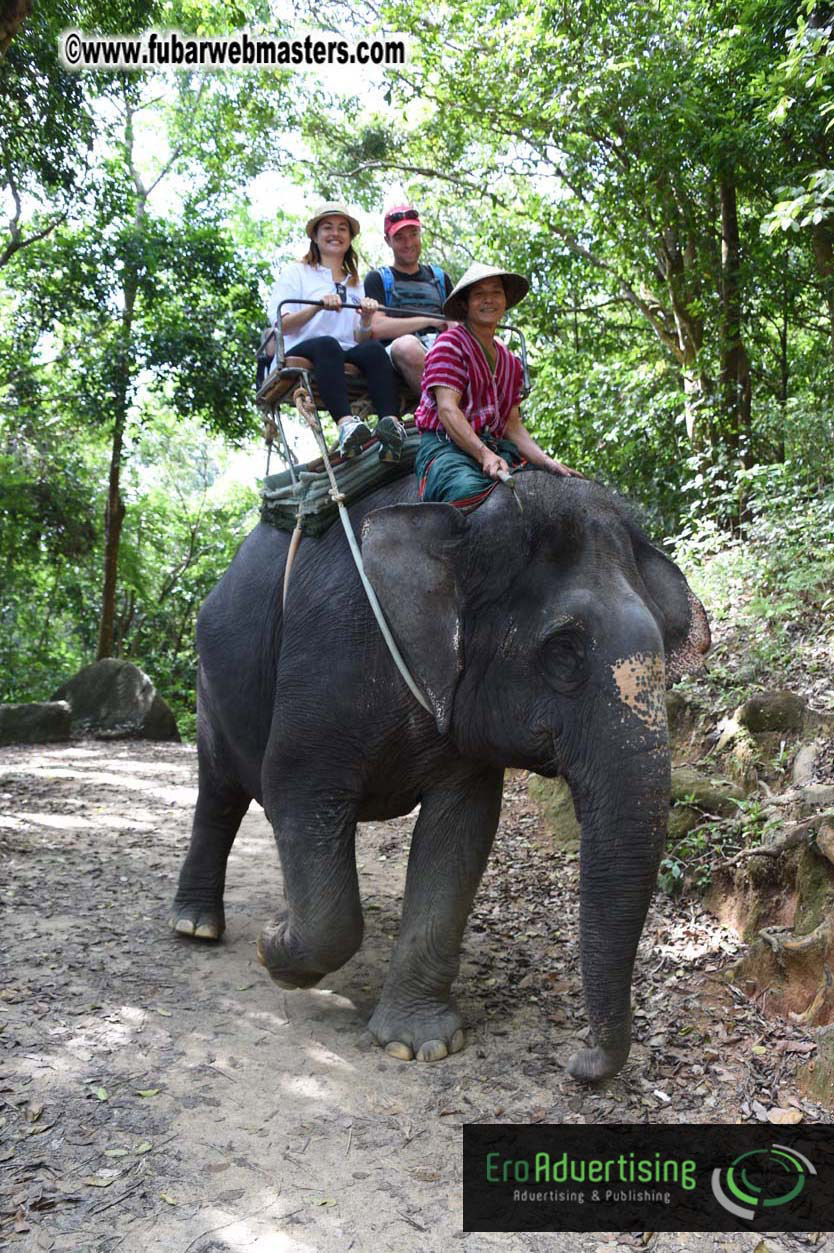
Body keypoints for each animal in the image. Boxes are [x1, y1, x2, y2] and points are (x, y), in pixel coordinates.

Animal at [171, 470, 709, 1082]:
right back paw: (196, 928)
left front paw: (419, 1045)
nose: (580, 1062)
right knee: (220, 791)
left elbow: (461, 830)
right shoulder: (328, 653)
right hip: (209, 682)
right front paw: (270, 947)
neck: (466, 513)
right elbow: (295, 788)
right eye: (563, 651)